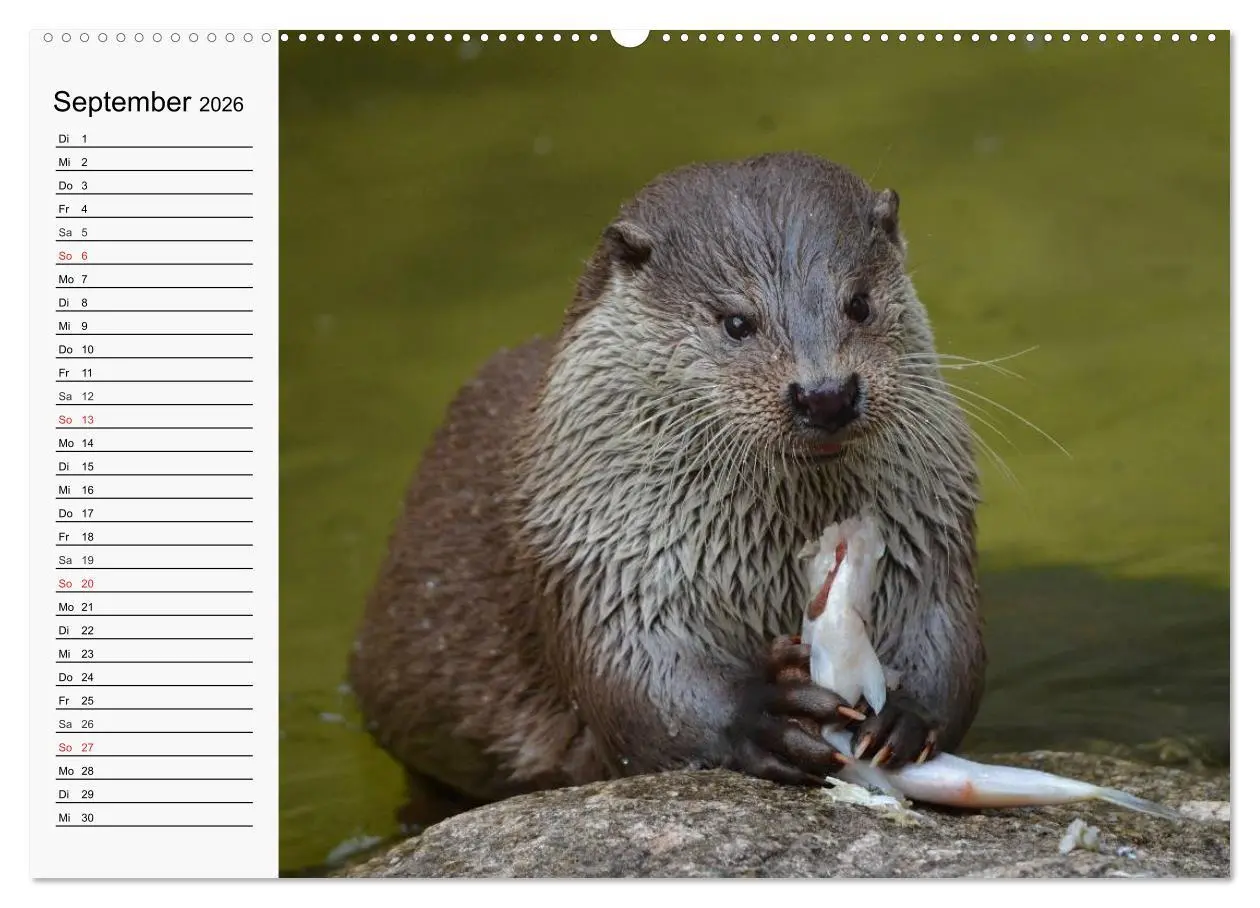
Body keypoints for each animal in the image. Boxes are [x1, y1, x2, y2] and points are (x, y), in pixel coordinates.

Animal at [349, 151, 984, 821]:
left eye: (858, 304)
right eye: (737, 323)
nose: (826, 394)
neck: (768, 554)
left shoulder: (930, 528)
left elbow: (949, 637)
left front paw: (908, 717)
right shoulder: (597, 554)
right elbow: (638, 685)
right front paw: (761, 714)